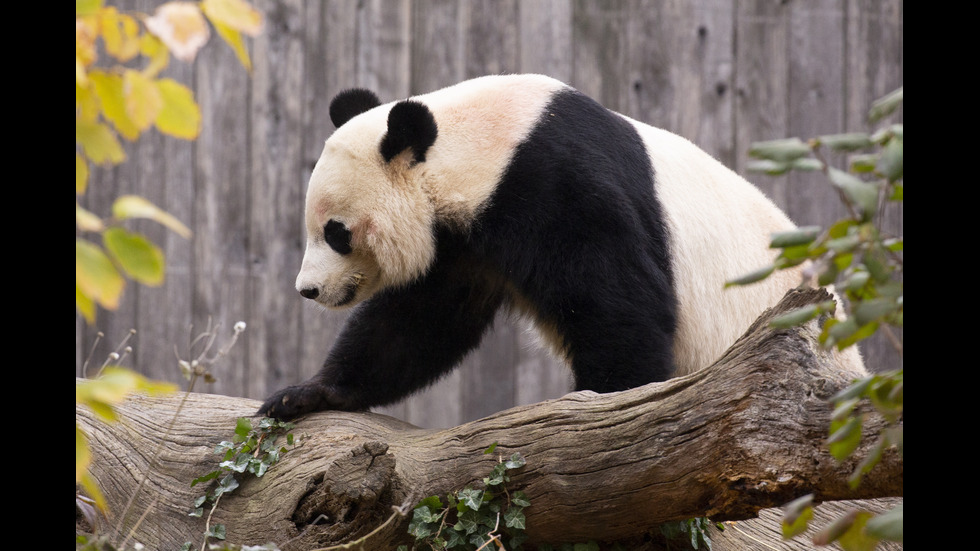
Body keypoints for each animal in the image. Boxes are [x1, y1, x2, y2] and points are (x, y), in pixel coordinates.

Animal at [258, 74, 864, 422]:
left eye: (336, 232)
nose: (308, 289)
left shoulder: (558, 186)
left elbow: (619, 306)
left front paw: (608, 407)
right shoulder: (462, 245)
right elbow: (414, 324)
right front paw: (308, 394)